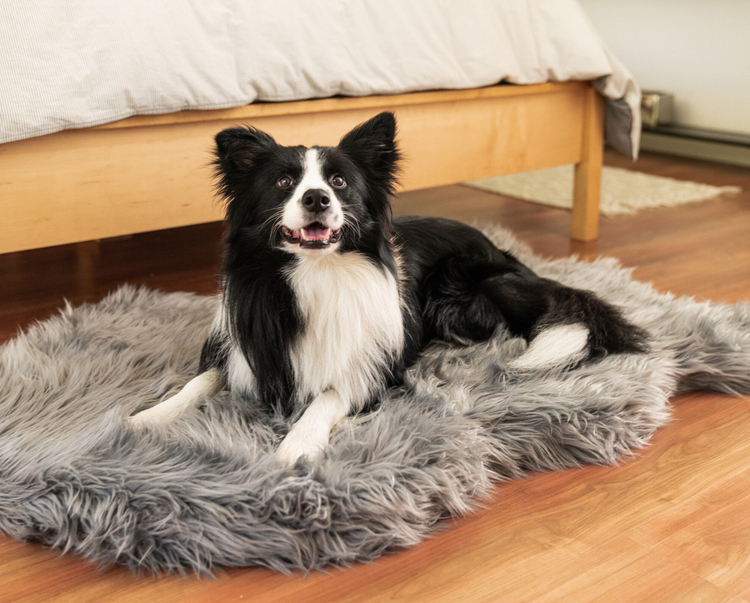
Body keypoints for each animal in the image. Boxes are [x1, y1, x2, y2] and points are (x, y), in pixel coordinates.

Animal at [132, 113, 648, 468]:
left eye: (339, 182)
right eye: (284, 181)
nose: (317, 198)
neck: (317, 272)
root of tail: (496, 246)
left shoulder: (374, 365)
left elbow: (328, 396)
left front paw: (297, 444)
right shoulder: (245, 347)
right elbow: (199, 381)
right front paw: (147, 418)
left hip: (464, 285)